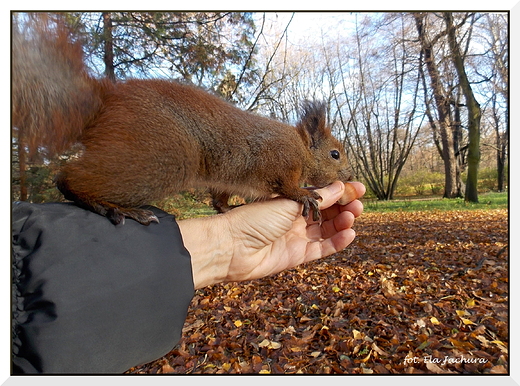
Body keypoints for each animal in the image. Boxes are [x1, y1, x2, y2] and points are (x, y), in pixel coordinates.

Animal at [13, 15, 354, 226]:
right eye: (335, 153)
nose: (350, 176)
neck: (300, 147)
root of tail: (106, 100)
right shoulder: (279, 162)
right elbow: (285, 185)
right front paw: (304, 195)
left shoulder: (224, 180)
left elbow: (219, 198)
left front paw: (227, 208)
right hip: (164, 155)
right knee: (67, 178)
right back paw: (111, 206)